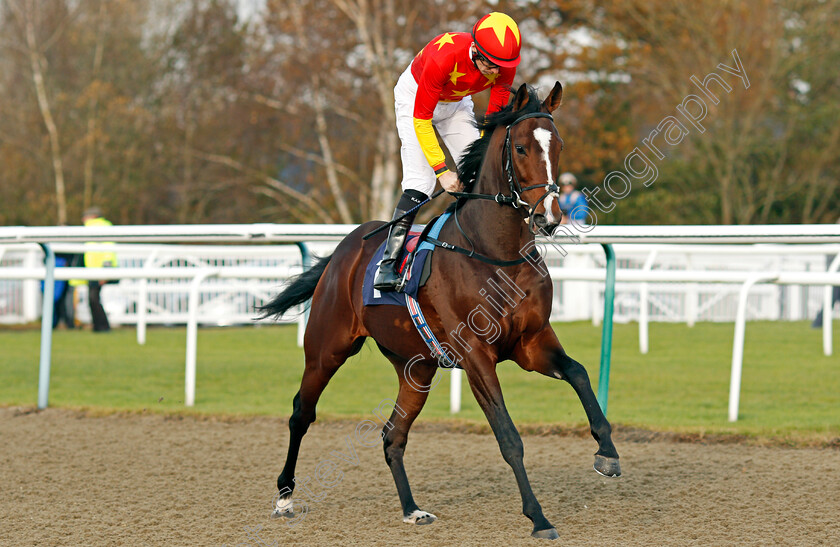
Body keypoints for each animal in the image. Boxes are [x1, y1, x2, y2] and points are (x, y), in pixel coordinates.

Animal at [262, 82, 624, 540]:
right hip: (327, 349)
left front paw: (607, 452)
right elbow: (509, 436)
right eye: (521, 148)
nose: (548, 217)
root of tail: (344, 250)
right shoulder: (476, 354)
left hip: (416, 369)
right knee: (301, 413)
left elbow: (578, 373)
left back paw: (411, 508)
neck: (495, 252)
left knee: (392, 435)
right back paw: (284, 498)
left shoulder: (531, 342)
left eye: (557, 145)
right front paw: (538, 517)